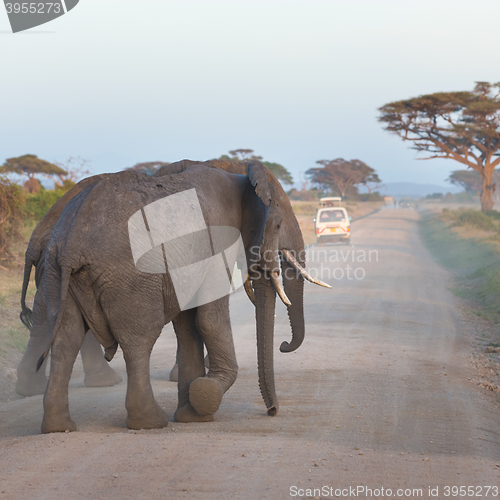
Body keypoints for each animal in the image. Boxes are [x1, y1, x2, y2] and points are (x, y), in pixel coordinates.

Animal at [39, 162, 328, 432]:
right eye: (278, 224)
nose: (272, 411)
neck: (240, 178)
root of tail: (72, 244)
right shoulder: (217, 243)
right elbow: (210, 320)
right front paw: (205, 395)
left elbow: (188, 328)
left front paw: (192, 416)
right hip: (128, 274)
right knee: (138, 340)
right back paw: (150, 422)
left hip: (54, 271)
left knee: (66, 339)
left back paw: (58, 427)